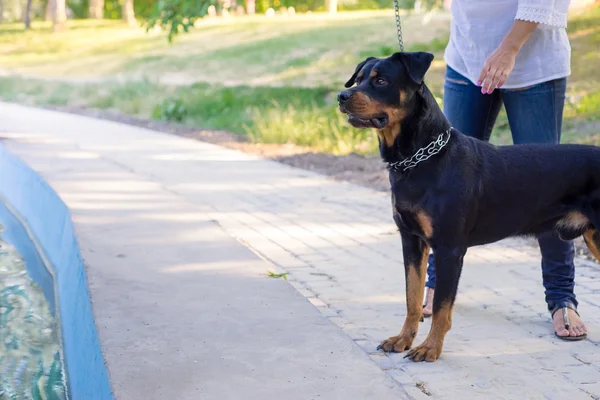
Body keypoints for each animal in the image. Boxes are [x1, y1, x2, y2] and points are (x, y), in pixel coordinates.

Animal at [338, 51, 600, 360]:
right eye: (359, 78)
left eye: (381, 80)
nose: (342, 95)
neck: (418, 160)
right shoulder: (411, 241)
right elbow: (413, 298)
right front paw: (403, 339)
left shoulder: (449, 248)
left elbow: (441, 307)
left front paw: (430, 348)